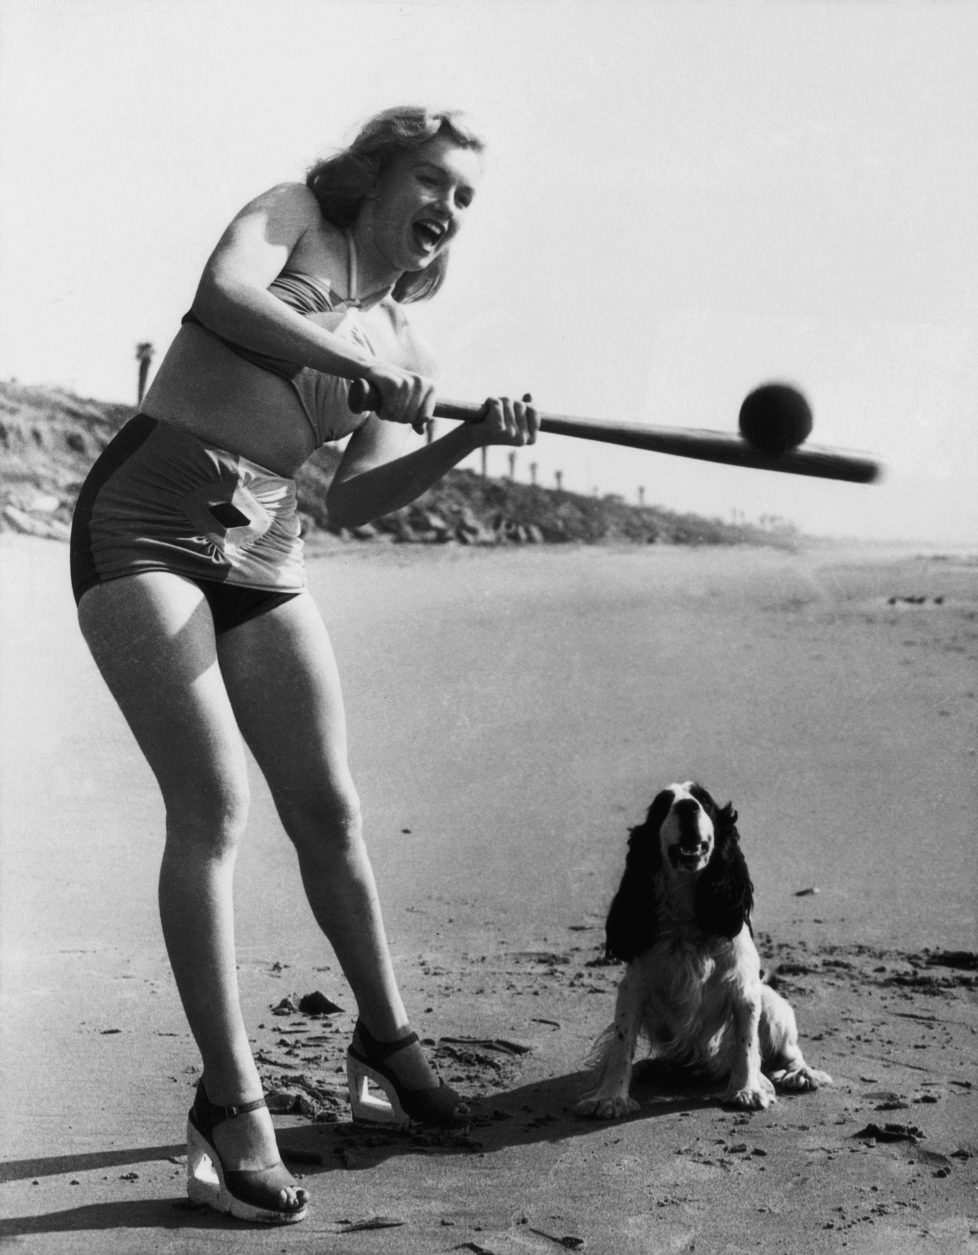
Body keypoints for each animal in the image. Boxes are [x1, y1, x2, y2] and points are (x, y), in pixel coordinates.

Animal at [577, 783, 828, 1119]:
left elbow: (747, 1045)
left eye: (703, 801)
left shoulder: (745, 991)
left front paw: (747, 1091)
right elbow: (621, 1044)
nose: (687, 807)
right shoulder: (633, 989)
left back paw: (799, 1074)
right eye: (663, 804)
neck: (687, 915)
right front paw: (610, 1098)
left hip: (773, 1003)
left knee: (790, 1051)